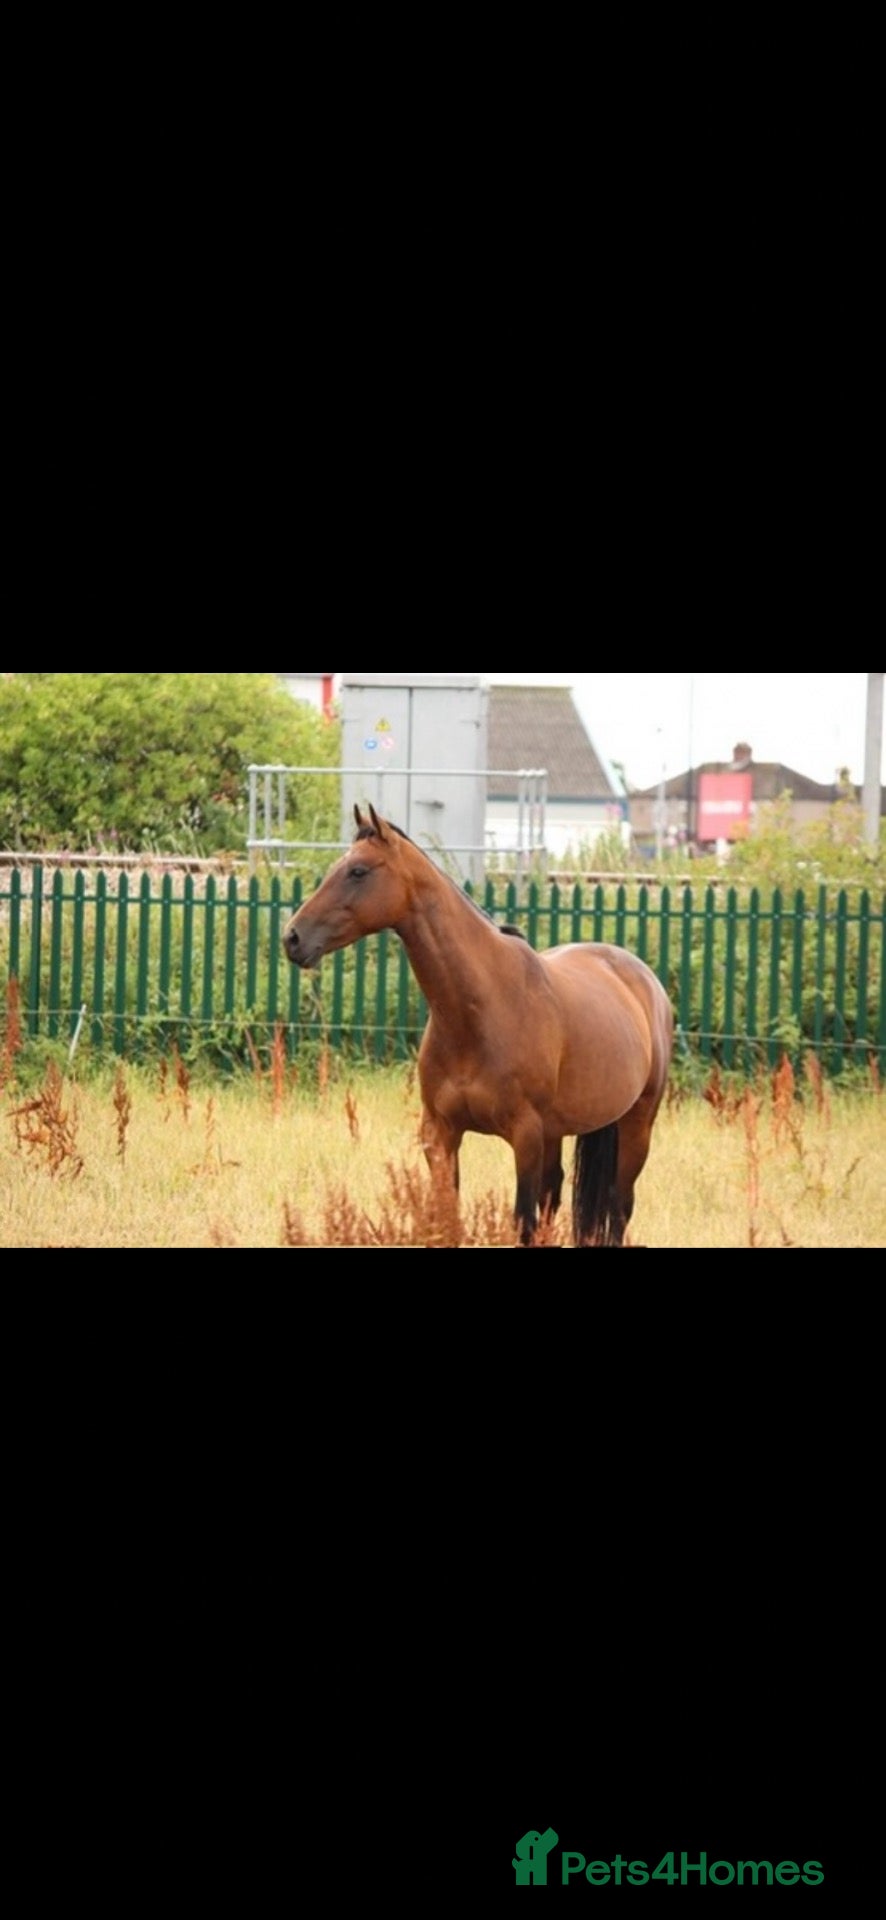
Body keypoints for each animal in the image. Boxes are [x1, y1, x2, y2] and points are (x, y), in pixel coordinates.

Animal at [282, 804, 674, 1246]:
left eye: (358, 871)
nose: (292, 938)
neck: (479, 1013)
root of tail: (644, 980)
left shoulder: (525, 1137)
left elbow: (522, 1221)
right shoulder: (440, 1135)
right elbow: (448, 1218)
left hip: (636, 1125)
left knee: (619, 1205)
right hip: (558, 1132)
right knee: (555, 1195)